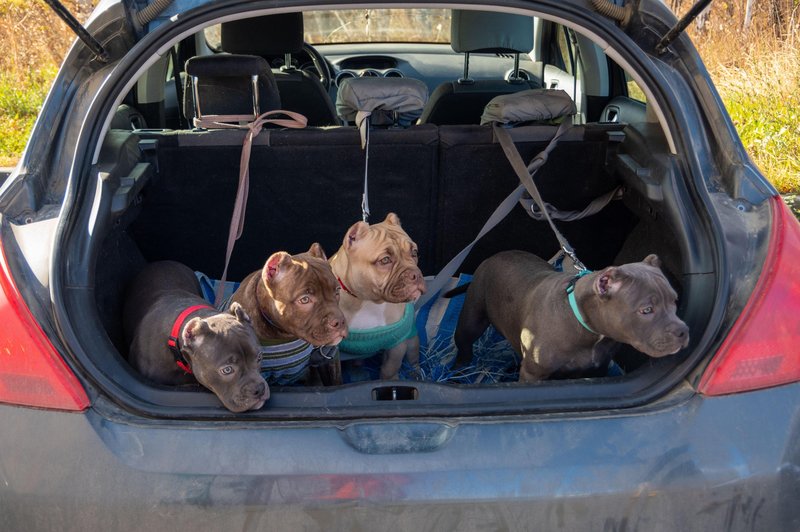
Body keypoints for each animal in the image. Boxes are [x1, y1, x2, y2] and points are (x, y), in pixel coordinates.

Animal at [228, 243, 346, 384]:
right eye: (305, 299)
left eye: (337, 291)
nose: (340, 322)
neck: (284, 335)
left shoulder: (329, 356)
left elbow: (335, 381)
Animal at [330, 213, 428, 382]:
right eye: (385, 260)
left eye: (414, 253)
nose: (416, 274)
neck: (368, 301)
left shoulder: (397, 343)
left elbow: (390, 367)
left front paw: (391, 381)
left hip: (412, 341)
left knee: (413, 357)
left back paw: (415, 373)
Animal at [450, 250, 688, 382]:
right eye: (646, 310)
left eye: (674, 301)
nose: (683, 331)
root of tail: (497, 255)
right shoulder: (533, 374)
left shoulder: (598, 369)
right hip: (472, 320)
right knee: (464, 344)